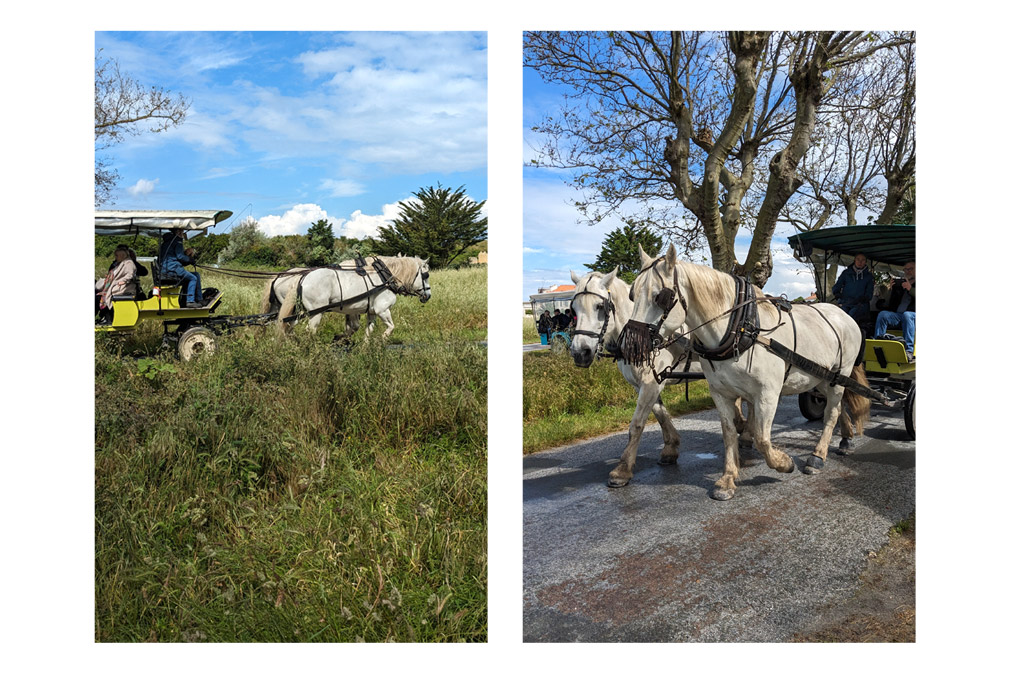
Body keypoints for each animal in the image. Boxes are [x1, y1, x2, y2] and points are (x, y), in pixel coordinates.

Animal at [260, 254, 430, 337]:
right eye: (426, 275)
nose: (428, 295)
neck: (384, 276)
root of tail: (302, 276)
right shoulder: (382, 309)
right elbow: (390, 327)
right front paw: (383, 339)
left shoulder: (367, 311)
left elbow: (364, 331)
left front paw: (361, 349)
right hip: (315, 312)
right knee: (308, 331)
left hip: (291, 310)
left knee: (284, 326)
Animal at [569, 268, 751, 487]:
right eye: (574, 309)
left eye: (599, 307)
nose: (580, 352)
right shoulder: (645, 384)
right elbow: (660, 414)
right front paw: (670, 448)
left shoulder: (650, 383)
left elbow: (637, 424)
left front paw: (622, 469)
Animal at [622, 245, 868, 497]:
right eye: (632, 295)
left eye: (660, 297)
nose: (630, 346)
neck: (740, 328)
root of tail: (844, 314)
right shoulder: (720, 393)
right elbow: (729, 431)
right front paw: (728, 478)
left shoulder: (767, 394)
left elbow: (762, 438)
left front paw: (784, 463)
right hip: (821, 377)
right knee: (838, 407)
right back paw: (843, 440)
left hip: (839, 376)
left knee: (832, 412)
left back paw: (818, 456)